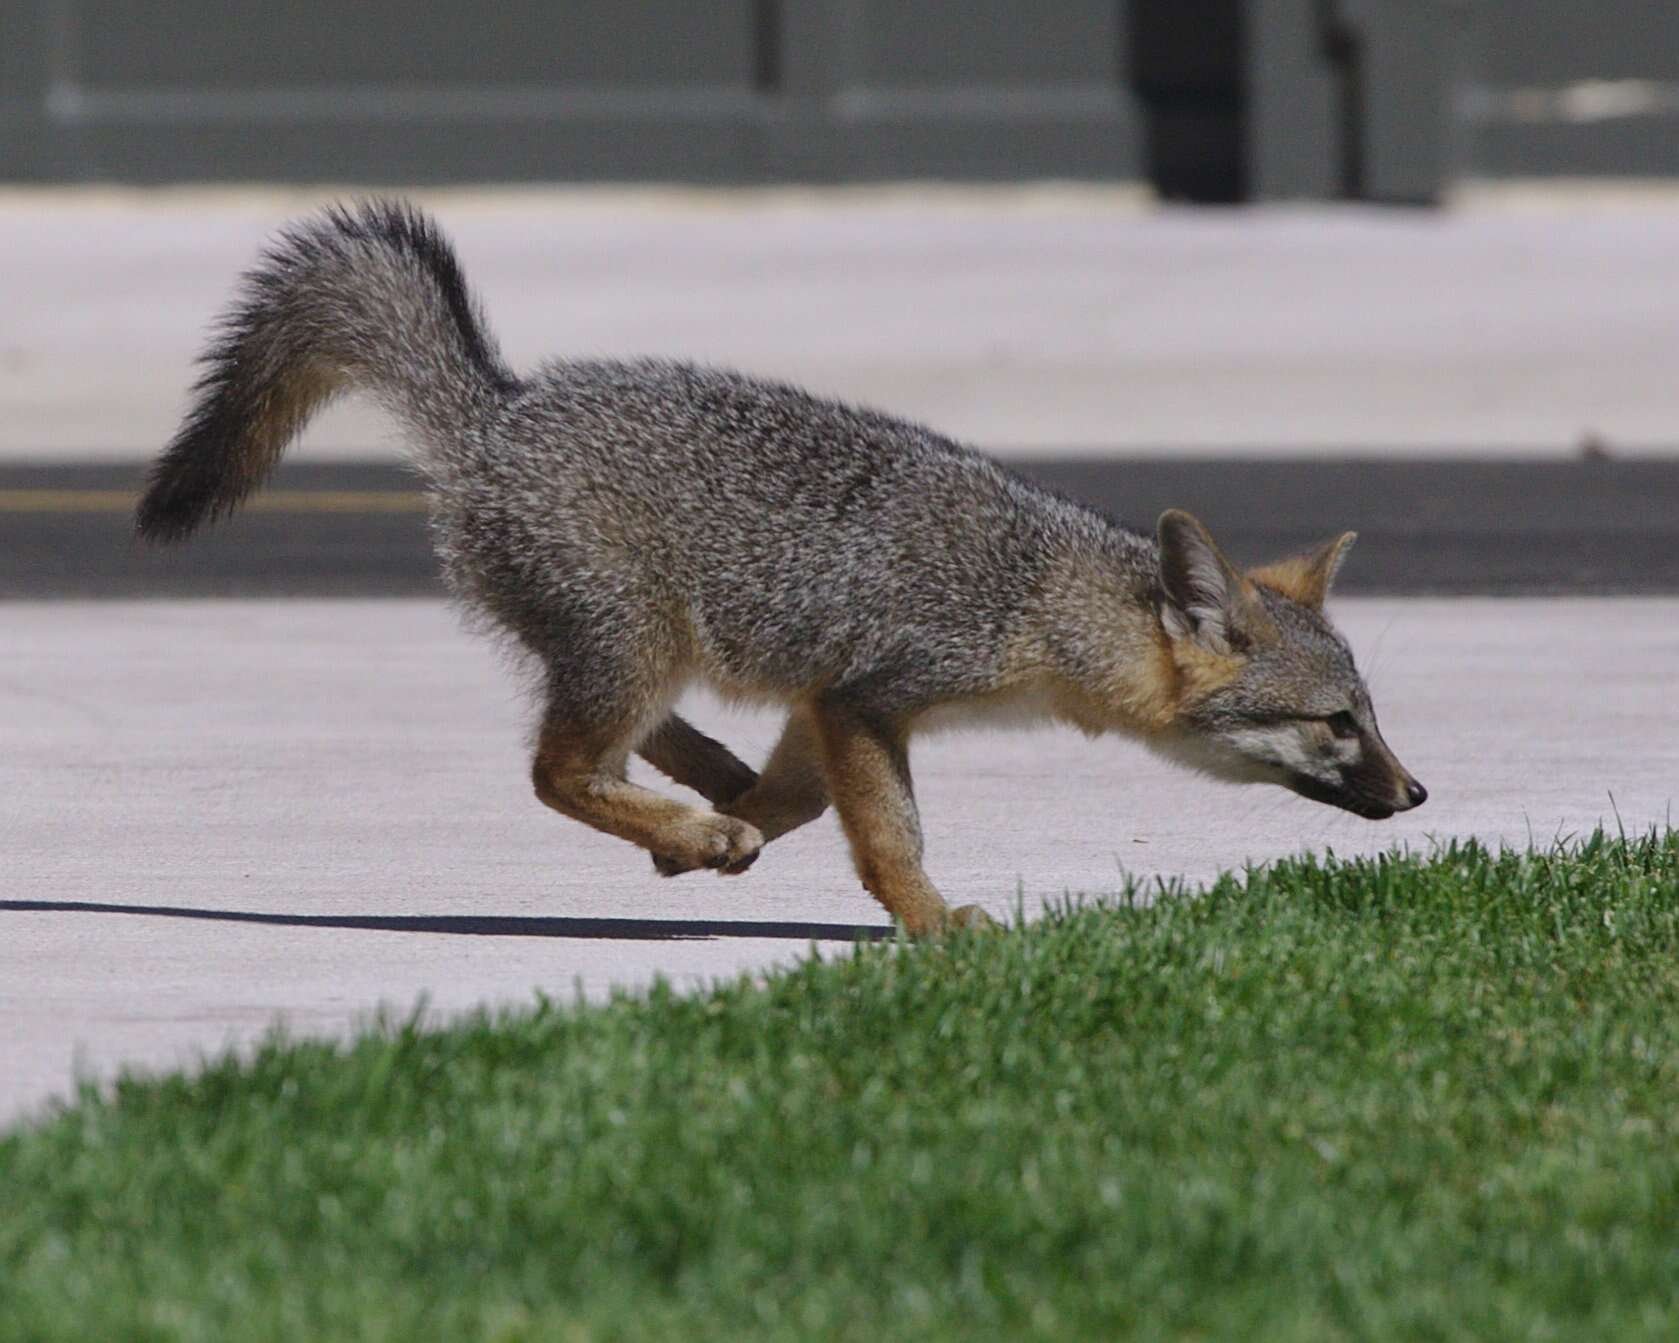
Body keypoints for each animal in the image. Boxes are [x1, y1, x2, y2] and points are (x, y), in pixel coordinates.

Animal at [144, 199, 1423, 933]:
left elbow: (802, 801)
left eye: (1371, 714)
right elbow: (889, 835)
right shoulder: (871, 694)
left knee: (614, 740)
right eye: (1335, 722)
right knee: (555, 767)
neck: (1041, 595)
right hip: (636, 640)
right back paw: (686, 817)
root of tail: (497, 412)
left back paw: (697, 799)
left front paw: (720, 828)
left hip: (645, 648)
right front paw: (931, 926)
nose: (1416, 793)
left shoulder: (827, 700)